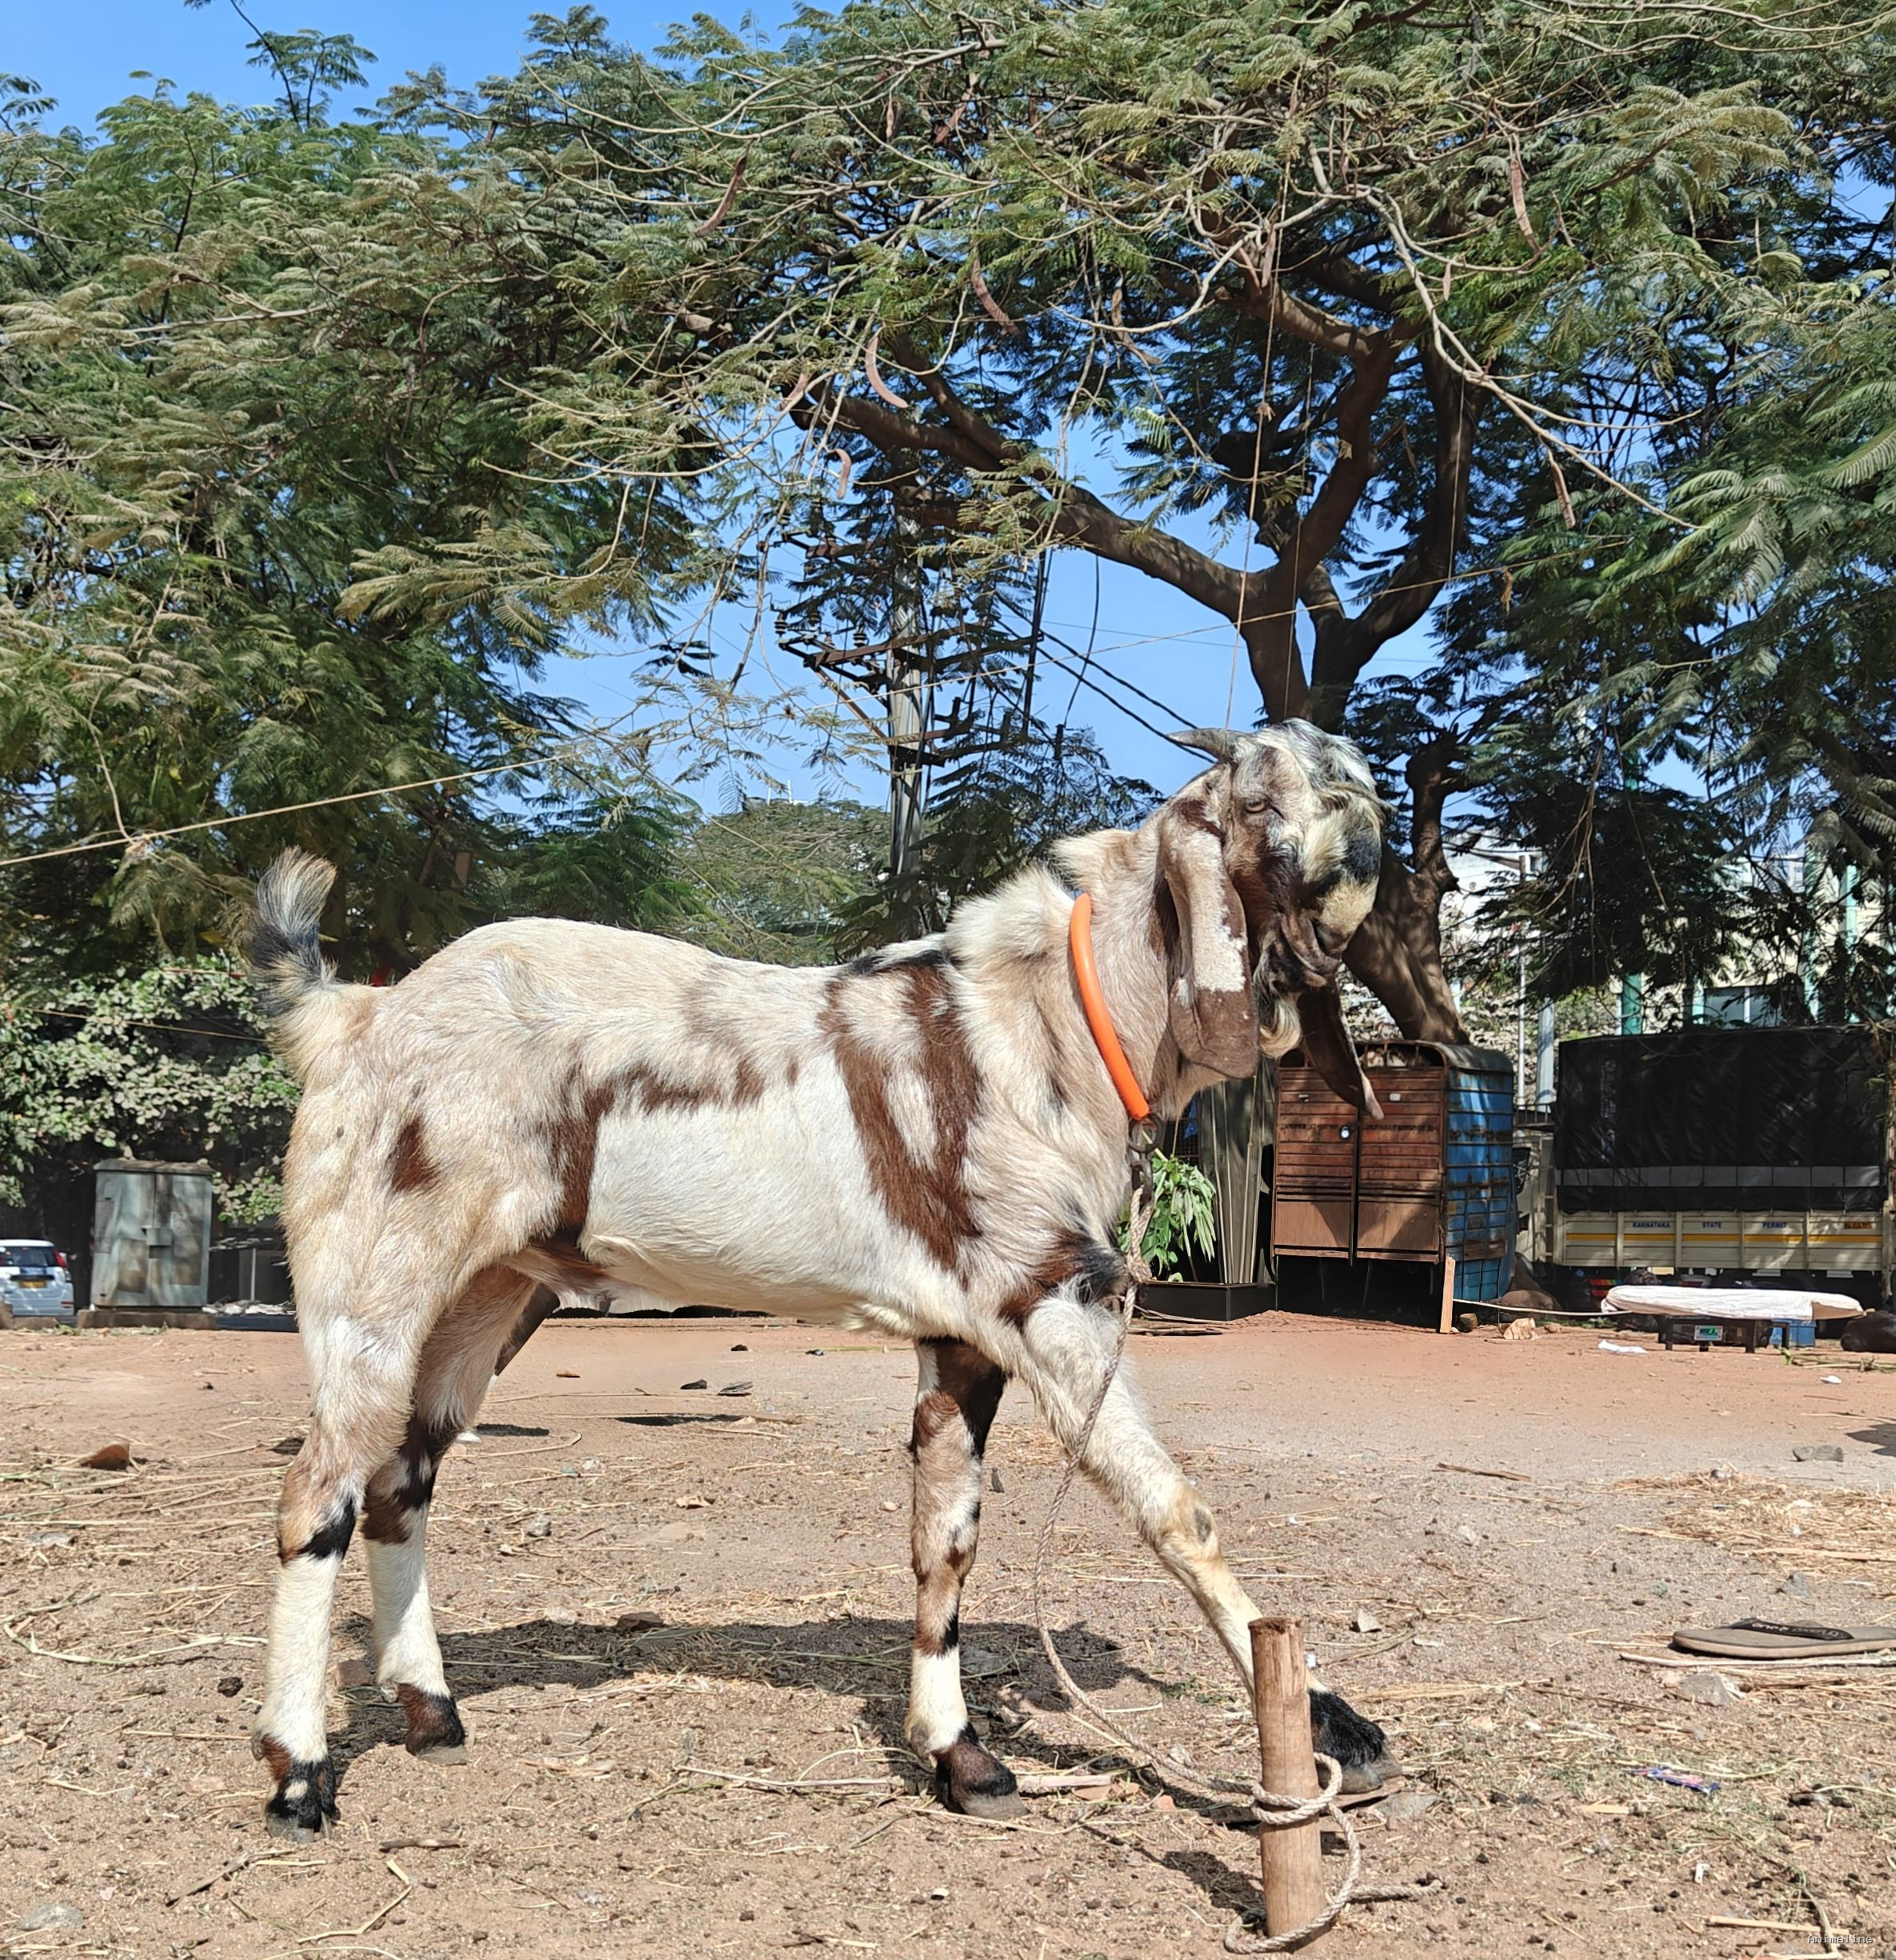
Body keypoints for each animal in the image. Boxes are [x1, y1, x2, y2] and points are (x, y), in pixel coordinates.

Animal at [244, 721, 1399, 1840]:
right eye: (1265, 804)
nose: (1357, 859)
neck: (1048, 1018)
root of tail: (351, 1016)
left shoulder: (966, 1336)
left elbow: (946, 1540)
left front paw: (960, 1756)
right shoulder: (1043, 1294)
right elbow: (1176, 1509)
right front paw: (1326, 1718)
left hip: (491, 1292)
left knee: (400, 1481)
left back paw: (431, 1712)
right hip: (372, 1282)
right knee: (319, 1493)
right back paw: (300, 1772)